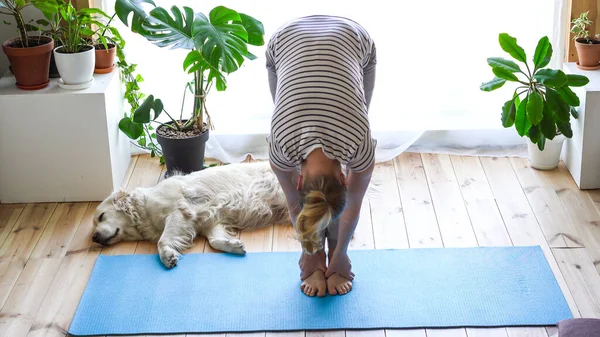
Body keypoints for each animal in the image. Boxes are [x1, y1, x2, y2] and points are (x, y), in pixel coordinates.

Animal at [91, 161, 290, 266]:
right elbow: (215, 240)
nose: (94, 238)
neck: (143, 208)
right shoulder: (210, 220)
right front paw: (234, 245)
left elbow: (163, 240)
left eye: (101, 217)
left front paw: (167, 255)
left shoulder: (180, 211)